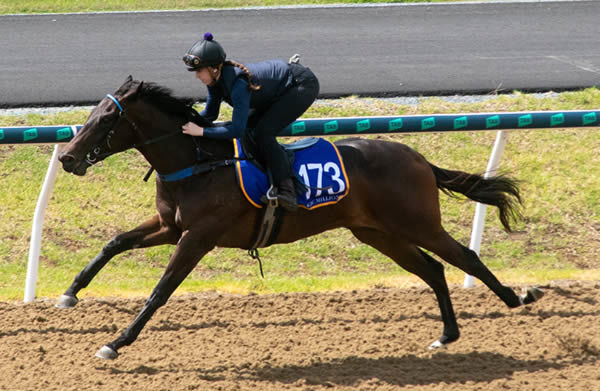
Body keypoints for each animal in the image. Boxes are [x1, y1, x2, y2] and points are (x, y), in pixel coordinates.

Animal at [56, 76, 544, 362]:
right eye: (91, 114)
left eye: (106, 119)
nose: (67, 158)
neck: (197, 161)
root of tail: (419, 158)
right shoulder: (170, 227)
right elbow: (114, 243)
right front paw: (70, 293)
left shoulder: (198, 236)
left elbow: (161, 291)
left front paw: (115, 342)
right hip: (377, 233)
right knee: (434, 269)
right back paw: (447, 335)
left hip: (418, 223)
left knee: (465, 258)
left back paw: (517, 298)